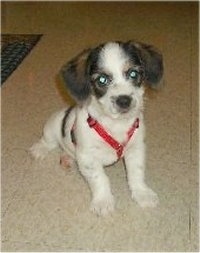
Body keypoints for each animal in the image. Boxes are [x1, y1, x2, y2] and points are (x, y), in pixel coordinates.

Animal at [30, 41, 163, 215]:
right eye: (102, 79)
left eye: (133, 74)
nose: (124, 100)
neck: (115, 124)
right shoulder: (88, 157)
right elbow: (100, 179)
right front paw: (103, 201)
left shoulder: (136, 149)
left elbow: (136, 173)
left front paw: (142, 193)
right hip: (53, 125)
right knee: (48, 141)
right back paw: (40, 149)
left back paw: (67, 158)